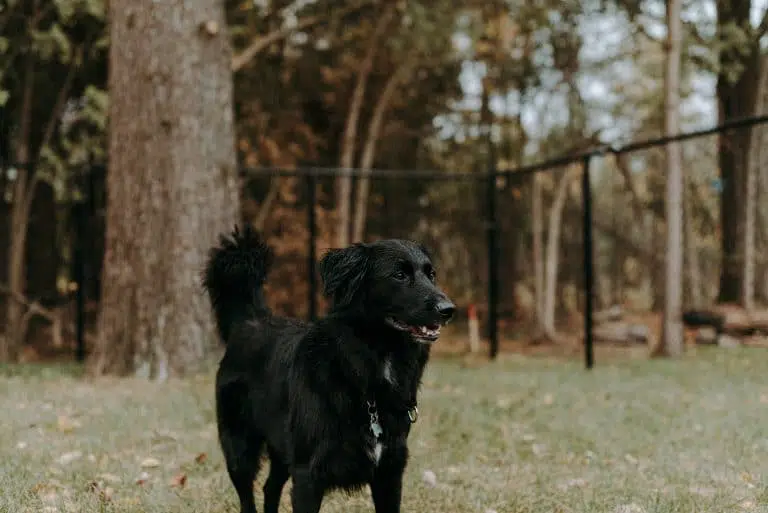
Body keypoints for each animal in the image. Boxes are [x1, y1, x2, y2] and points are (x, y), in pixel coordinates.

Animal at [204, 226, 456, 510]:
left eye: (431, 274)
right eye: (399, 275)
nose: (448, 310)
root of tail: (251, 320)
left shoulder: (389, 473)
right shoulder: (308, 474)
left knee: (270, 488)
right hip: (240, 448)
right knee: (247, 495)